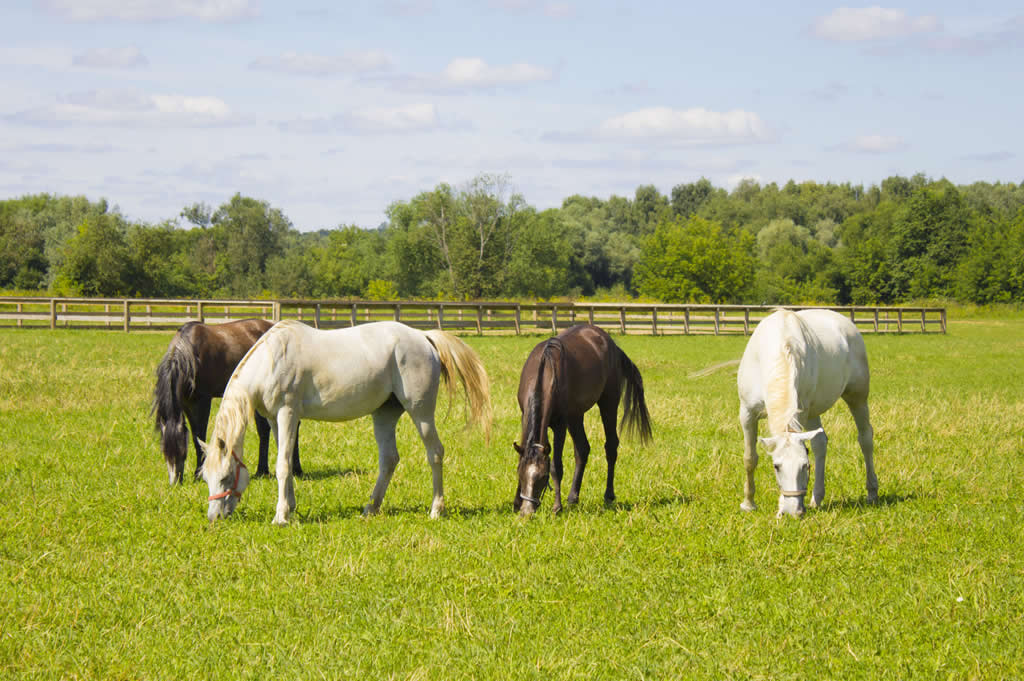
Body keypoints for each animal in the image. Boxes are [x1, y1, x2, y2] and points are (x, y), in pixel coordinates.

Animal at [151, 319, 301, 483]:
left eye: (183, 452)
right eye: (164, 450)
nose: (175, 482)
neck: (190, 353)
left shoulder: (203, 400)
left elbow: (199, 435)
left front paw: (199, 473)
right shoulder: (186, 402)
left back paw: (296, 470)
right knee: (264, 430)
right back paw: (262, 471)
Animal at [199, 319, 491, 524]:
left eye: (225, 477)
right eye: (206, 477)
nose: (214, 517)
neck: (272, 359)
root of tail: (423, 337)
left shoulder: (287, 413)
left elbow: (282, 465)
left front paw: (280, 516)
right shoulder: (273, 419)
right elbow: (286, 462)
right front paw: (290, 508)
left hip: (421, 413)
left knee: (435, 453)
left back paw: (436, 510)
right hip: (384, 414)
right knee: (389, 460)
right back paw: (370, 508)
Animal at [512, 327, 655, 512]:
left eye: (543, 477)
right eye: (521, 473)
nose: (526, 512)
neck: (546, 372)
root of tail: (611, 344)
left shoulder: (560, 425)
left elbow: (556, 466)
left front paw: (557, 507)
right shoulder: (525, 417)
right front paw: (516, 503)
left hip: (608, 403)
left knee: (611, 446)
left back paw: (608, 495)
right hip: (576, 416)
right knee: (582, 449)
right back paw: (573, 497)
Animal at [737, 307, 880, 516]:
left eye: (805, 465)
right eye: (776, 466)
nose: (791, 511)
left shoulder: (801, 412)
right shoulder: (747, 413)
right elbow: (750, 458)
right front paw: (748, 504)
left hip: (857, 397)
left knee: (865, 439)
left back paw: (872, 492)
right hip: (814, 412)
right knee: (820, 443)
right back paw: (817, 498)